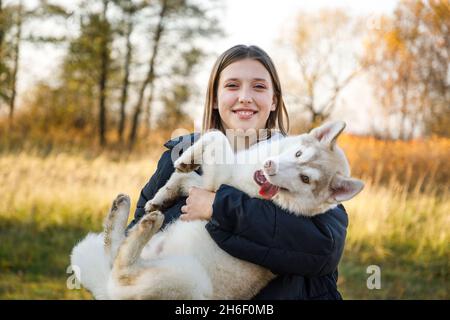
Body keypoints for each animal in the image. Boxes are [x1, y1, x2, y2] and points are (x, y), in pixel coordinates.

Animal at [71, 120, 366, 300]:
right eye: (298, 154)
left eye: (305, 179)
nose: (269, 167)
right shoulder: (211, 181)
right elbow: (199, 156)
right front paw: (166, 189)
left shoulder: (215, 187)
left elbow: (218, 138)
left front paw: (184, 161)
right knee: (113, 254)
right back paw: (122, 212)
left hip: (190, 280)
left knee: (122, 269)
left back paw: (147, 224)